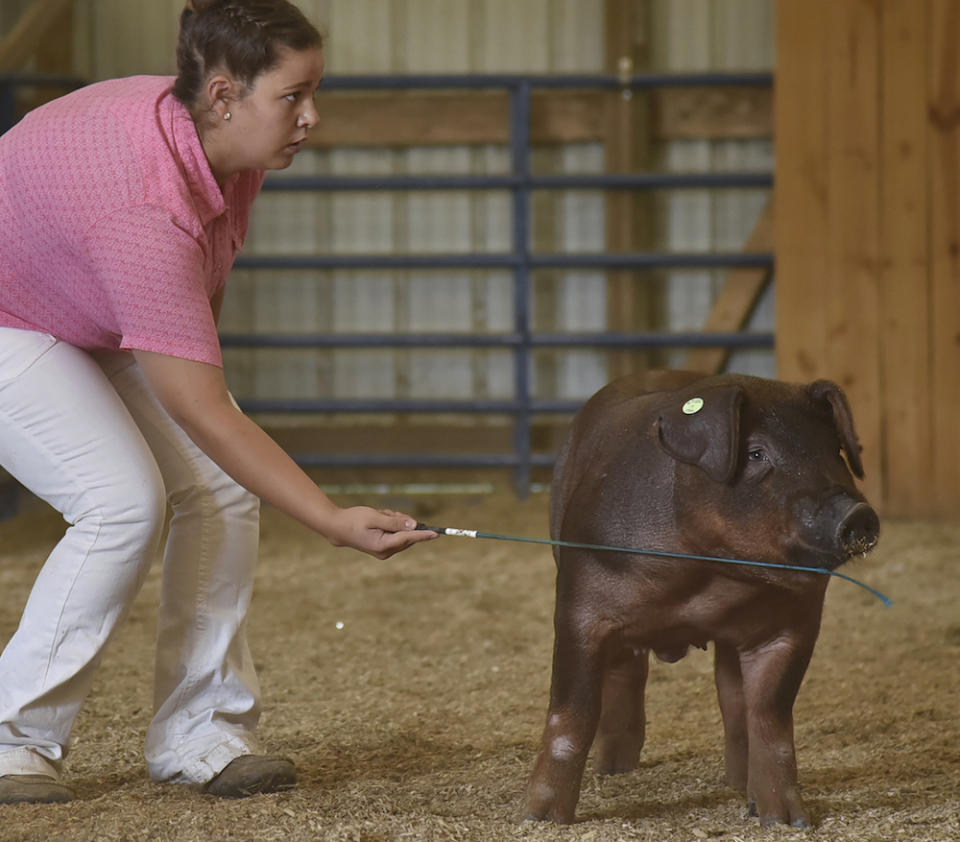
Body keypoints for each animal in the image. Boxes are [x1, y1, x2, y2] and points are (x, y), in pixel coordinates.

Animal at [524, 370, 876, 824]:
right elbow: (571, 713)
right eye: (757, 452)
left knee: (732, 701)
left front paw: (786, 820)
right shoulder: (579, 609)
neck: (708, 578)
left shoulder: (793, 626)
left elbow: (770, 715)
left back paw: (739, 788)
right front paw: (539, 818)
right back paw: (615, 769)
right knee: (626, 674)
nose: (858, 515)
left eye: (835, 450)